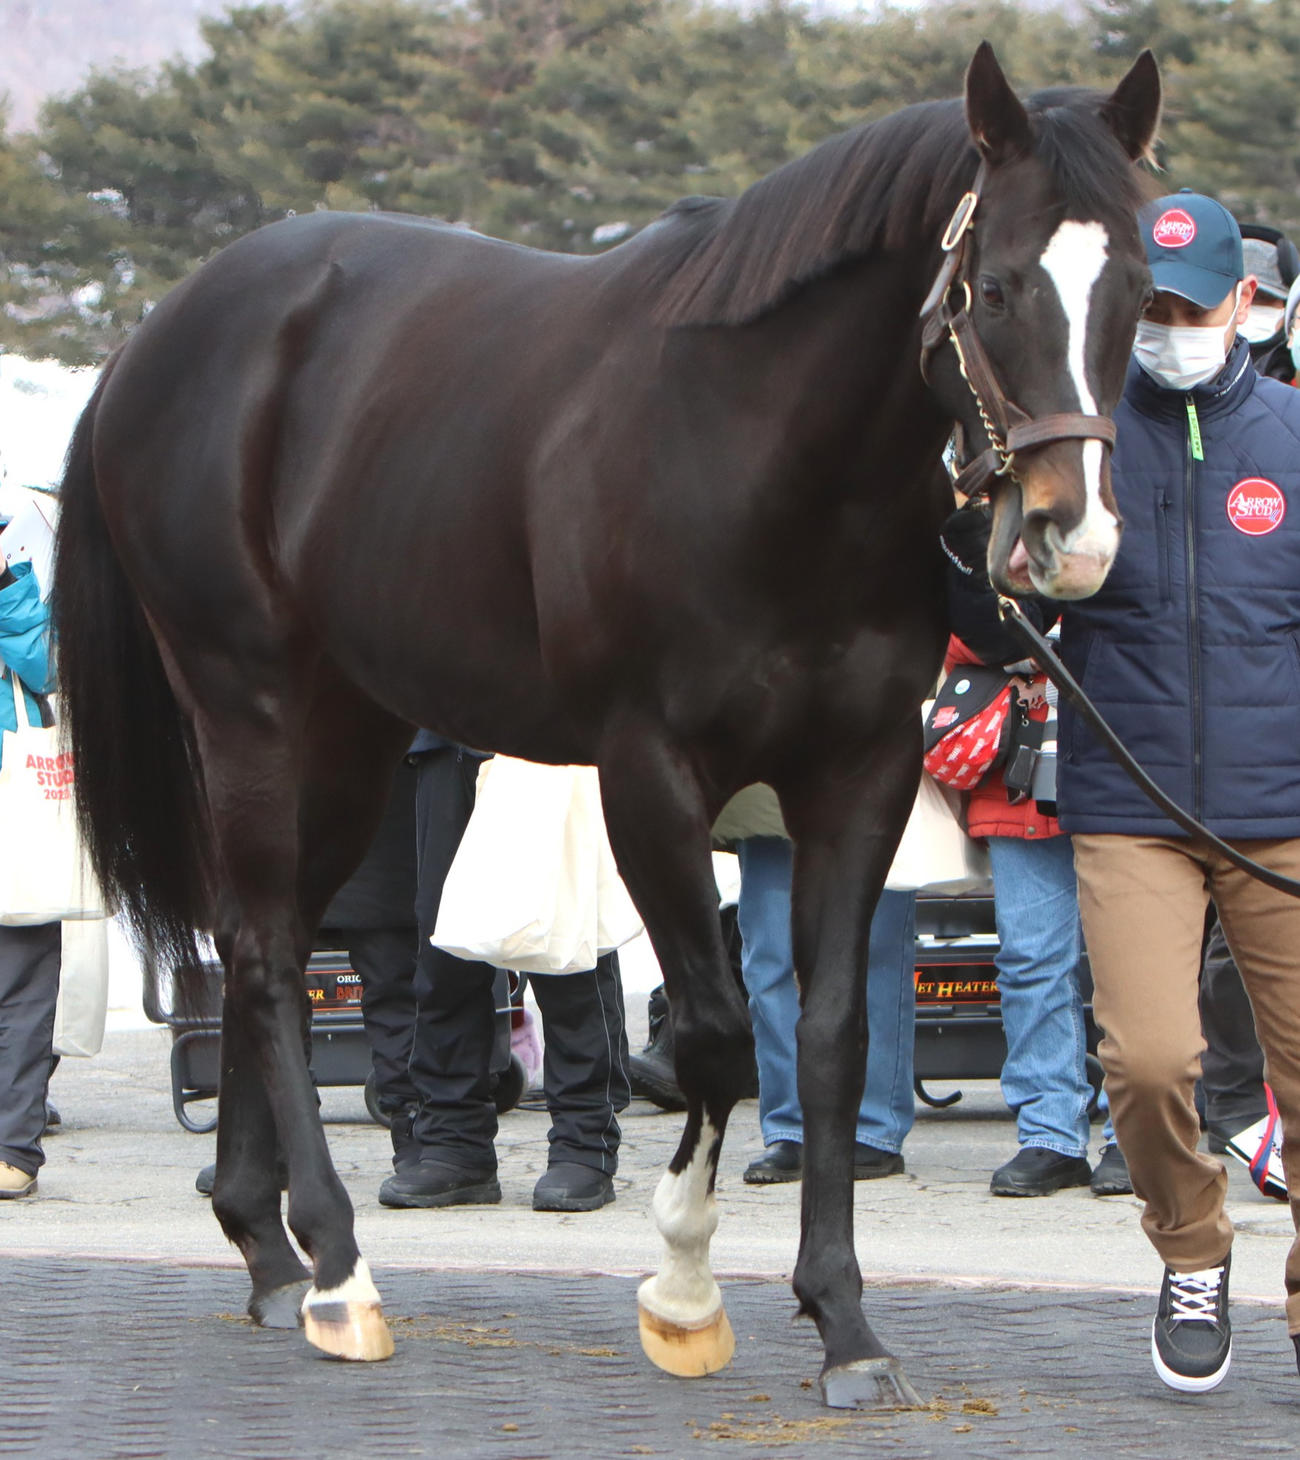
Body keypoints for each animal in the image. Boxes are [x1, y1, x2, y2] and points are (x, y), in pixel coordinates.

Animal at [53, 42, 1160, 1407]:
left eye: (1138, 288)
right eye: (995, 286)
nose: (1074, 536)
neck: (758, 449)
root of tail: (155, 335)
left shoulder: (859, 770)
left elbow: (831, 1037)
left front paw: (844, 1320)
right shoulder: (649, 771)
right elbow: (720, 1035)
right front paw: (682, 1291)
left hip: (351, 733)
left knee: (275, 944)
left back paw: (269, 1246)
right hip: (250, 704)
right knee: (259, 952)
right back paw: (338, 1270)